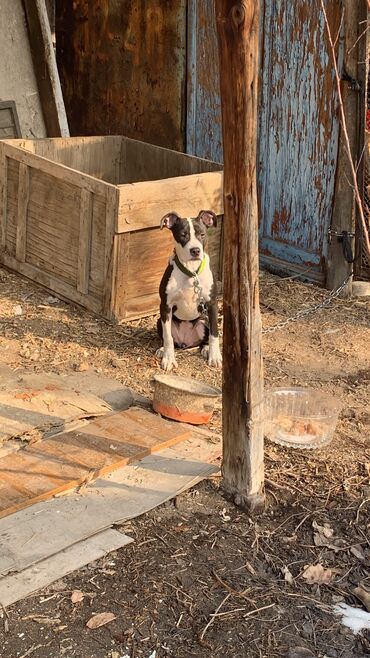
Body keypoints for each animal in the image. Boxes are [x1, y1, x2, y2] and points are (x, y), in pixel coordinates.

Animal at [157, 211, 221, 368]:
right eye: (183, 235)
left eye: (202, 234)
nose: (195, 250)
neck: (191, 272)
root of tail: (187, 341)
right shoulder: (165, 306)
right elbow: (168, 337)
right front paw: (168, 359)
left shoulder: (212, 303)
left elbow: (215, 333)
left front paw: (215, 356)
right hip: (159, 320)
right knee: (168, 337)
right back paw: (162, 349)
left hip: (203, 321)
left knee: (206, 336)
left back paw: (206, 348)